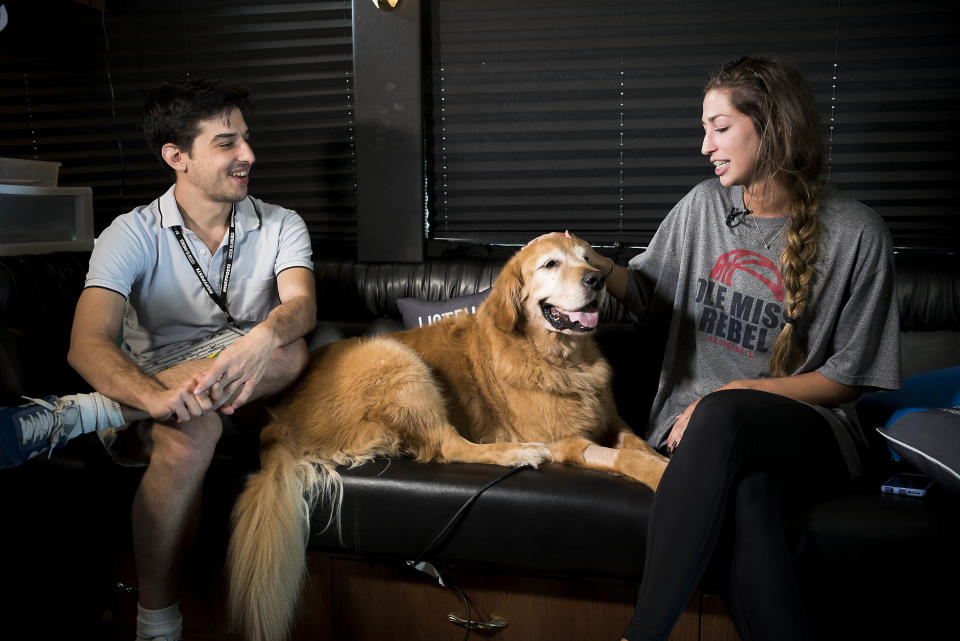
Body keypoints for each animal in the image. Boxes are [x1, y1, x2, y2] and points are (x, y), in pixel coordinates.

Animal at [228, 232, 664, 640]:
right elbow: (630, 458)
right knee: (447, 445)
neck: (563, 358)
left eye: (589, 257)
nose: (597, 279)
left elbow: (641, 447)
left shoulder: (616, 425)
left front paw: (666, 460)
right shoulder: (568, 443)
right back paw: (518, 453)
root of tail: (276, 418)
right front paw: (660, 476)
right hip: (399, 359)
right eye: (551, 264)